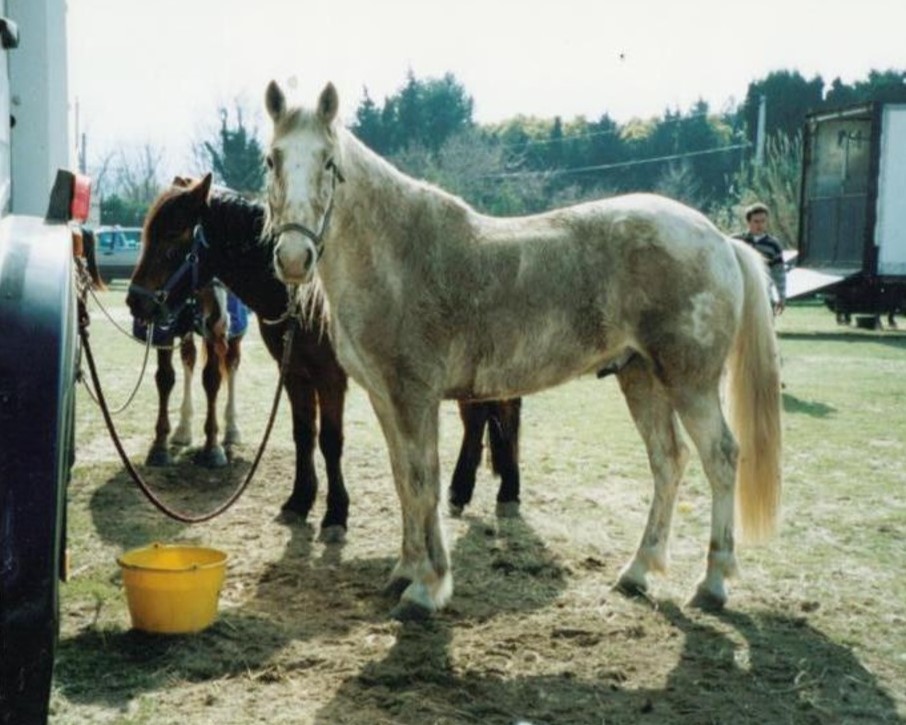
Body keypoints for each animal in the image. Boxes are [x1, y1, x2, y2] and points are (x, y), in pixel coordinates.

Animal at [124, 173, 520, 540]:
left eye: (173, 234)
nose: (136, 301)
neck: (302, 294)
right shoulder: (294, 372)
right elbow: (303, 434)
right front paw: (299, 500)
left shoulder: (331, 376)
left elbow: (330, 440)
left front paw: (335, 514)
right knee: (479, 416)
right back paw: (461, 491)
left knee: (506, 414)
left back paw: (507, 493)